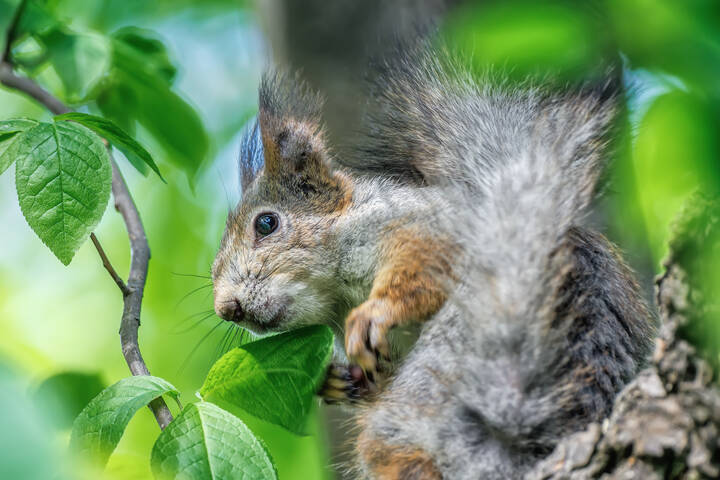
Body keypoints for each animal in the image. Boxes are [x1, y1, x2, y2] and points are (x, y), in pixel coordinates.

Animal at [212, 48, 656, 479]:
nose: (226, 308)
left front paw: (375, 313)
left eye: (266, 223)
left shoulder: (427, 227)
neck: (340, 295)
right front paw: (341, 381)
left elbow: (421, 268)